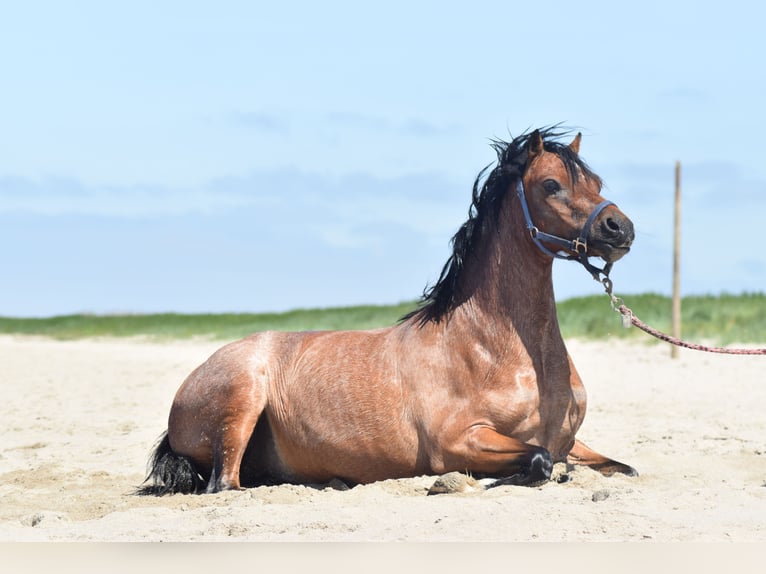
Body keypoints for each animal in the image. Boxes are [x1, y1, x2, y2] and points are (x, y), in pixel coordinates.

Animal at [137, 127, 637, 495]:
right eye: (551, 185)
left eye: (596, 184)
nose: (620, 228)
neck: (494, 348)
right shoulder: (458, 440)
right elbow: (538, 459)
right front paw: (478, 482)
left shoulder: (572, 441)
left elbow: (620, 466)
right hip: (241, 399)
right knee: (225, 484)